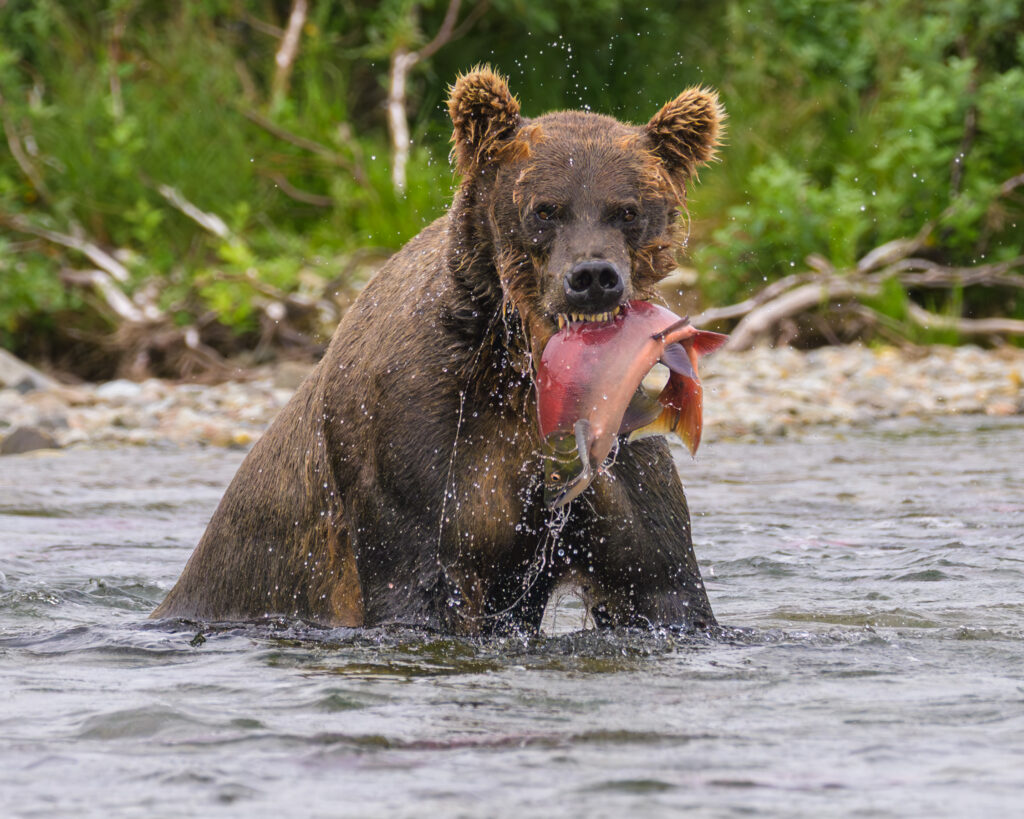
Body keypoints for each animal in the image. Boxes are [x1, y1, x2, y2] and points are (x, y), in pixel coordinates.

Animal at [152, 68, 724, 635]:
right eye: (545, 209)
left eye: (627, 210)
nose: (593, 277)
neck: (519, 367)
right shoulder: (418, 431)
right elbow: (422, 577)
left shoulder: (616, 449)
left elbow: (659, 579)